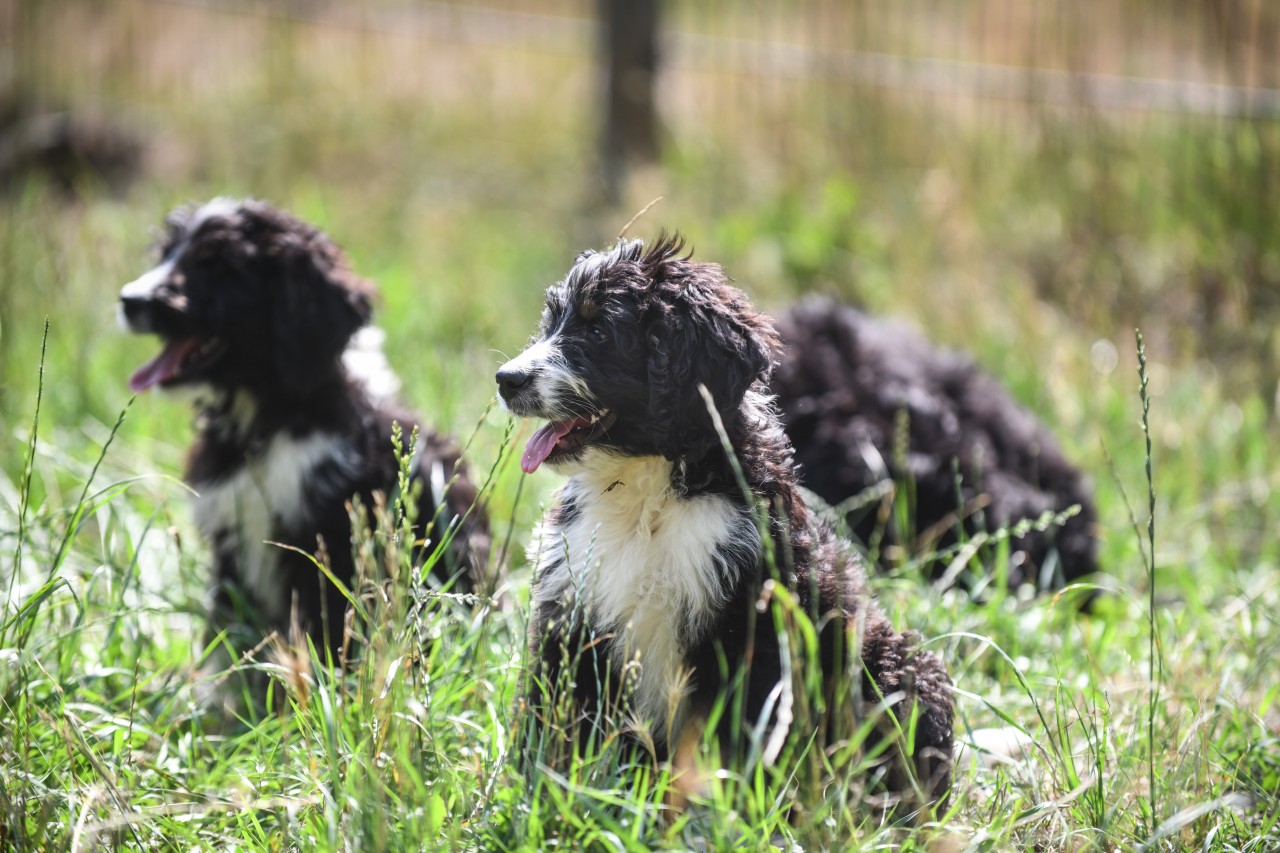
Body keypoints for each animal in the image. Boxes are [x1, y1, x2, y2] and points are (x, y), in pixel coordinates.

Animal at [120, 201, 488, 666]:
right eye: (166, 253)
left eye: (217, 266)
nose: (129, 299)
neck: (272, 419)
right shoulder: (231, 547)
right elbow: (224, 638)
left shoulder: (328, 545)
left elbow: (324, 635)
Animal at [494, 235, 957, 809]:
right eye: (551, 321)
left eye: (598, 331)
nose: (506, 380)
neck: (645, 496)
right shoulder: (572, 609)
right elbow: (558, 724)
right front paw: (544, 794)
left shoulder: (751, 624)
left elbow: (740, 739)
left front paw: (735, 810)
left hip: (899, 666)